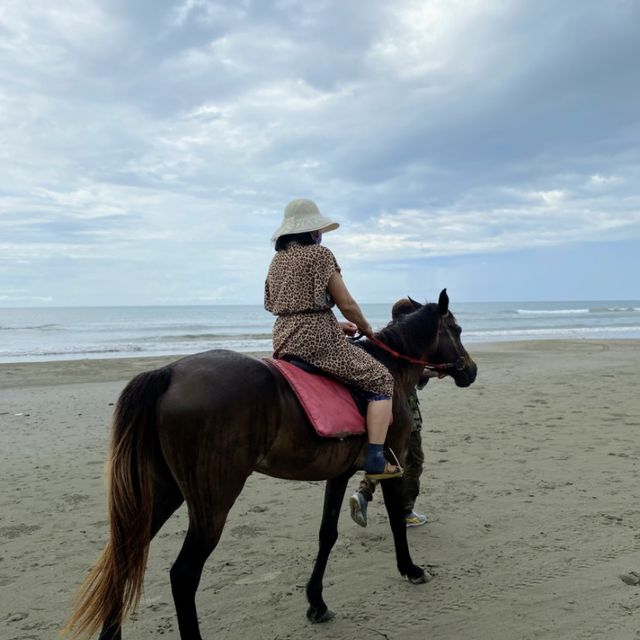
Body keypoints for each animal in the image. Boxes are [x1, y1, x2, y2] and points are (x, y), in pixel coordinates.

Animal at [65, 290, 476, 640]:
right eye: (456, 329)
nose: (470, 370)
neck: (387, 368)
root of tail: (168, 374)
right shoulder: (391, 463)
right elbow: (394, 520)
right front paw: (410, 569)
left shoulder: (340, 474)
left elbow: (327, 534)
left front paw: (316, 602)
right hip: (211, 502)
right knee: (183, 574)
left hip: (162, 491)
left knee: (124, 557)